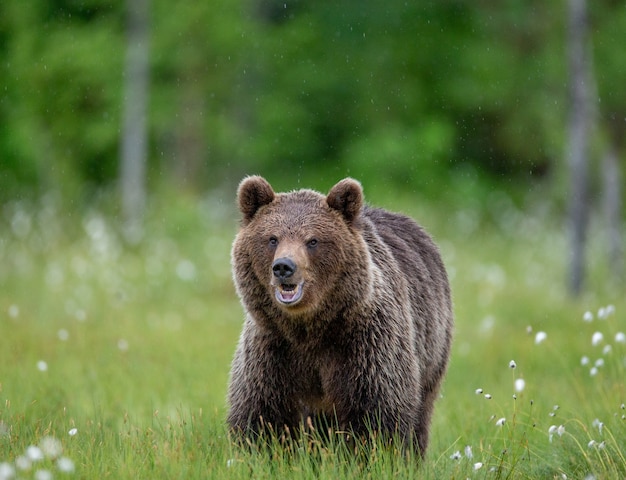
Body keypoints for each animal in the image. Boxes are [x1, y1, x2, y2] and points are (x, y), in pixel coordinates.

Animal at [227, 176, 450, 458]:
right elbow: (262, 413)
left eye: (312, 241)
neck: (309, 329)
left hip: (432, 347)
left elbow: (376, 411)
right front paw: (262, 452)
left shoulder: (365, 343)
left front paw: (371, 456)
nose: (284, 267)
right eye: (272, 238)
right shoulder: (272, 349)